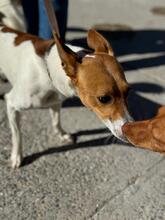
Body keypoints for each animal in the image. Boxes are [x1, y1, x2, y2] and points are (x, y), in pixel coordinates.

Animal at [0, 25, 131, 167]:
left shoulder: (56, 101)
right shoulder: (12, 103)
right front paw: (17, 156)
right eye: (104, 99)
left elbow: (56, 121)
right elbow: (17, 134)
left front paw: (61, 134)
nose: (129, 132)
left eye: (128, 91)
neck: (47, 71)